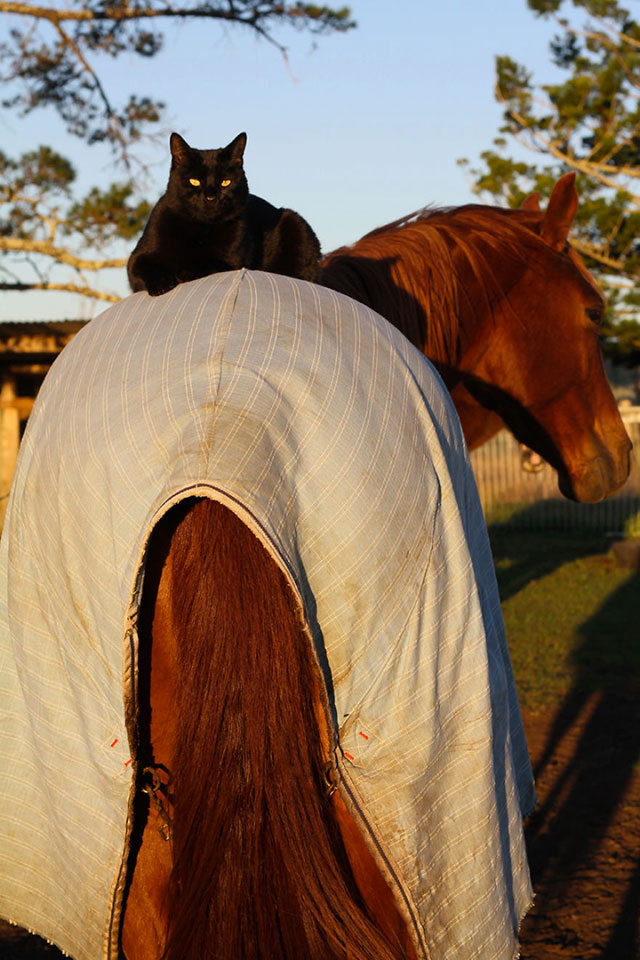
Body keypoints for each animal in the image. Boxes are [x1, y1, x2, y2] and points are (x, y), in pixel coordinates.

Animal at [128, 131, 322, 294]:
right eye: (194, 181)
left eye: (225, 182)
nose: (211, 196)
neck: (199, 229)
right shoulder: (137, 257)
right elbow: (145, 268)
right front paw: (162, 283)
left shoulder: (234, 262)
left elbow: (209, 262)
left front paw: (186, 271)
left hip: (295, 221)